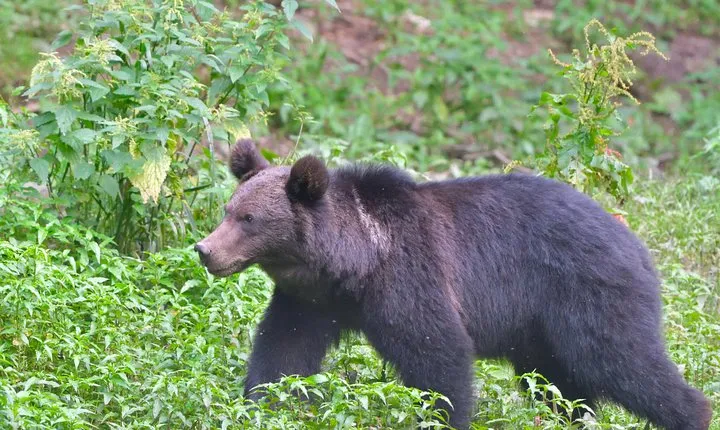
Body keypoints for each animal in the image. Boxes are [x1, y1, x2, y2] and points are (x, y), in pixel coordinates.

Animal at [194, 139, 712, 430]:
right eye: (228, 209)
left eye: (249, 219)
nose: (205, 250)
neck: (354, 263)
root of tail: (637, 244)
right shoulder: (311, 300)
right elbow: (283, 351)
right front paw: (260, 403)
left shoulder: (410, 277)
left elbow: (438, 353)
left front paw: (446, 416)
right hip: (540, 330)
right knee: (560, 385)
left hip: (586, 292)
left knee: (623, 360)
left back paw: (692, 413)